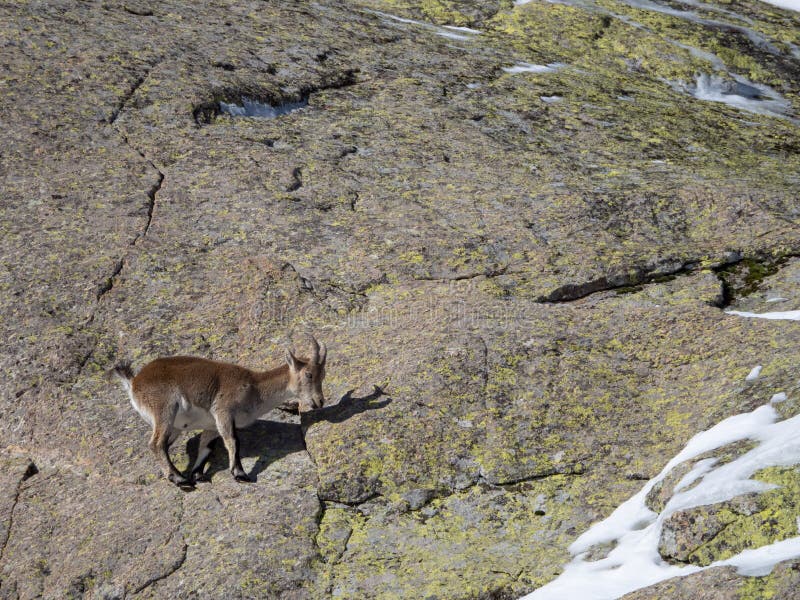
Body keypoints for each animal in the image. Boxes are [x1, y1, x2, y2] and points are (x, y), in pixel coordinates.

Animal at [111, 337, 327, 486]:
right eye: (308, 374)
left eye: (323, 375)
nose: (319, 401)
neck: (254, 387)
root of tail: (134, 382)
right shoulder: (223, 411)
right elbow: (233, 441)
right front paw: (240, 474)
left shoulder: (212, 425)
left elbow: (205, 447)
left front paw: (198, 474)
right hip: (164, 409)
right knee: (155, 444)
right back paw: (179, 479)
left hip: (175, 427)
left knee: (162, 445)